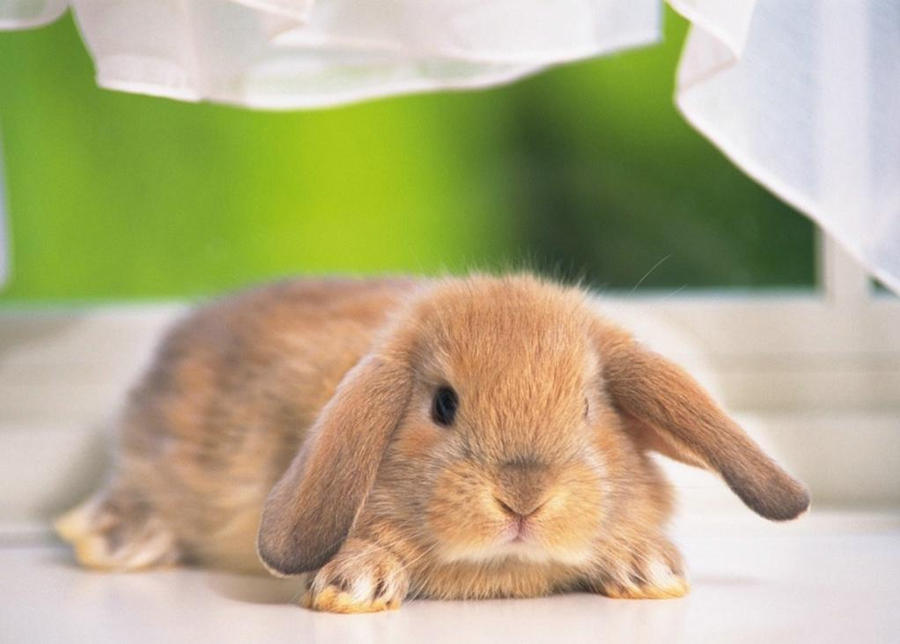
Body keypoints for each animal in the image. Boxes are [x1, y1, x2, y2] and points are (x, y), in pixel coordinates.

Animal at [55, 273, 809, 613]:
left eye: (589, 406)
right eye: (443, 405)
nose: (523, 498)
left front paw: (646, 567)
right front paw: (355, 583)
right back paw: (118, 539)